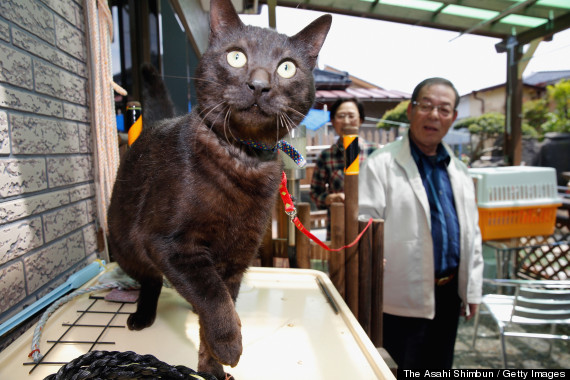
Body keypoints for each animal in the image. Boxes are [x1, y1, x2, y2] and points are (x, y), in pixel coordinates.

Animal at [107, 0, 330, 378]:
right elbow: (213, 297)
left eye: (286, 67)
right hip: (125, 245)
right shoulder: (170, 245)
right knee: (151, 279)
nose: (259, 85)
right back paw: (143, 315)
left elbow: (217, 303)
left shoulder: (237, 257)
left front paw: (211, 365)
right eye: (236, 57)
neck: (243, 160)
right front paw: (229, 344)